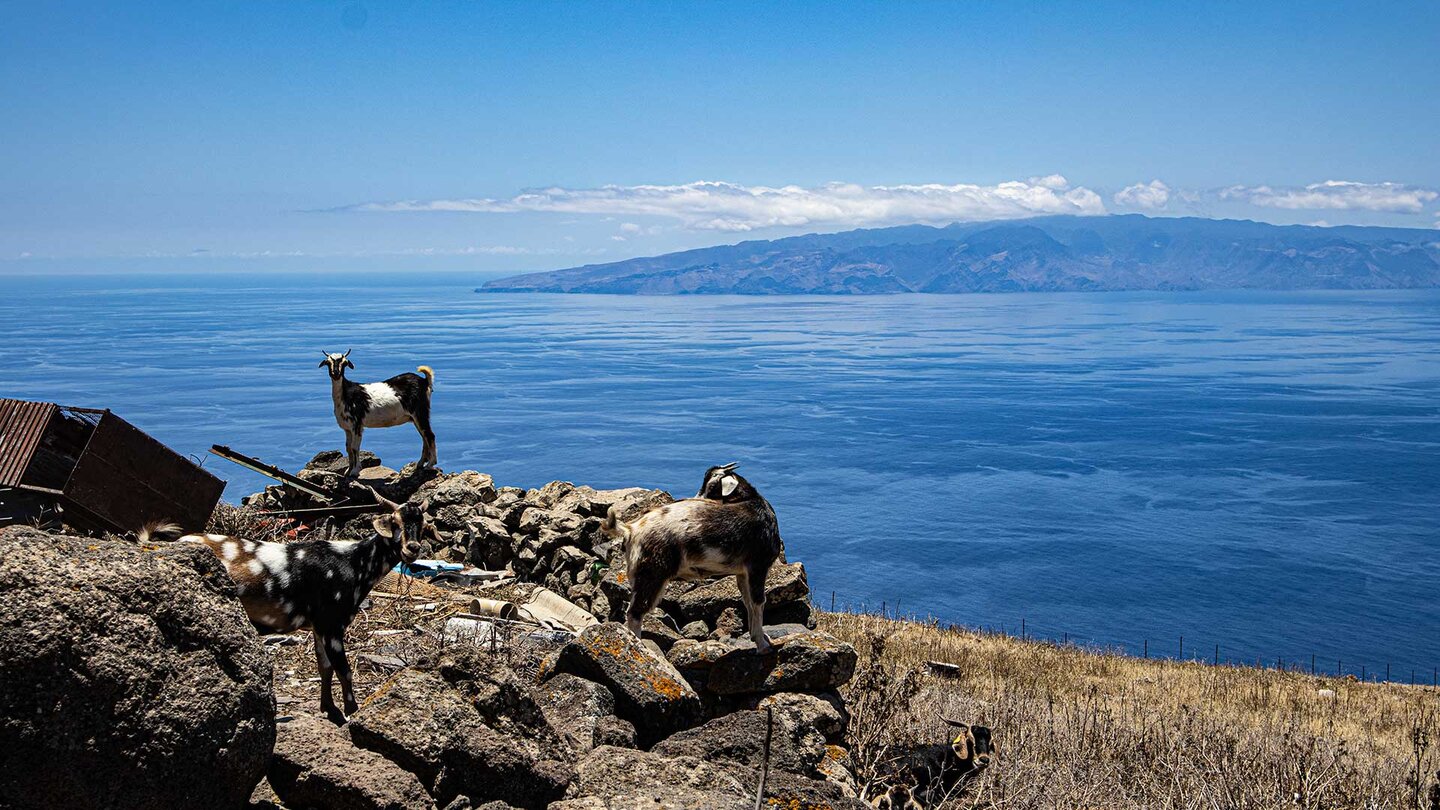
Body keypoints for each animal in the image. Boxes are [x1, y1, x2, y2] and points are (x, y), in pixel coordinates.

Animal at [138, 490, 434, 720]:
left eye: (421, 524)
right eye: (395, 522)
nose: (412, 549)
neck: (354, 562)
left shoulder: (318, 626)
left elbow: (324, 668)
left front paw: (329, 709)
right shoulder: (332, 623)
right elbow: (344, 670)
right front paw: (352, 711)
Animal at [596, 461, 783, 648]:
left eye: (712, 486)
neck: (751, 503)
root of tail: (631, 529)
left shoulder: (742, 573)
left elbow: (748, 602)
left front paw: (758, 636)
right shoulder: (758, 565)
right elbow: (758, 602)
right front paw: (762, 645)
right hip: (651, 573)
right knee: (635, 612)